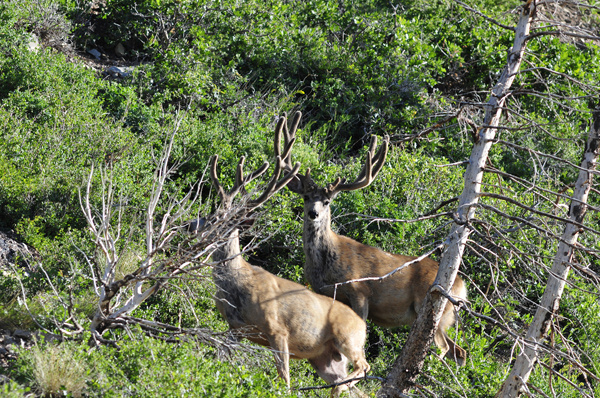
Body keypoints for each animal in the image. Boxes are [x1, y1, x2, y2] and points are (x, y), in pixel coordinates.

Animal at [195, 114, 368, 394]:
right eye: (211, 215)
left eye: (223, 223)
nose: (191, 227)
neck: (237, 285)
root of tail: (364, 326)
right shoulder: (234, 328)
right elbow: (220, 359)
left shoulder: (277, 328)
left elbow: (284, 379)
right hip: (325, 358)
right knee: (351, 384)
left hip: (348, 338)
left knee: (364, 367)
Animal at [276, 110, 468, 366]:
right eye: (306, 197)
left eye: (326, 201)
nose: (313, 213)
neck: (325, 265)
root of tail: (461, 286)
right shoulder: (323, 292)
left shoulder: (359, 291)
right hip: (446, 317)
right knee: (460, 352)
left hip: (432, 308)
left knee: (445, 348)